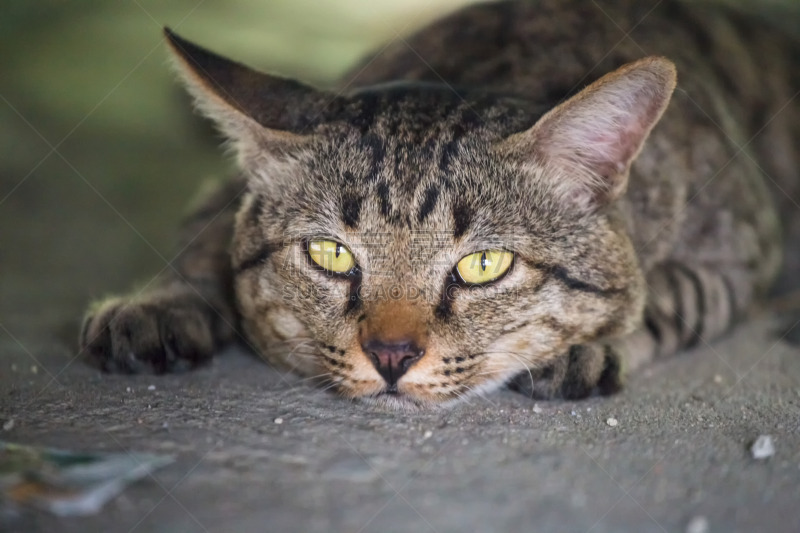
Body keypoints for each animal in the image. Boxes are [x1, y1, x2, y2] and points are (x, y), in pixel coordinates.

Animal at [78, 0, 796, 410]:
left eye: (484, 266)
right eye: (329, 253)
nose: (391, 355)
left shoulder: (740, 252)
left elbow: (666, 297)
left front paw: (581, 348)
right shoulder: (224, 196)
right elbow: (203, 239)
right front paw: (159, 302)